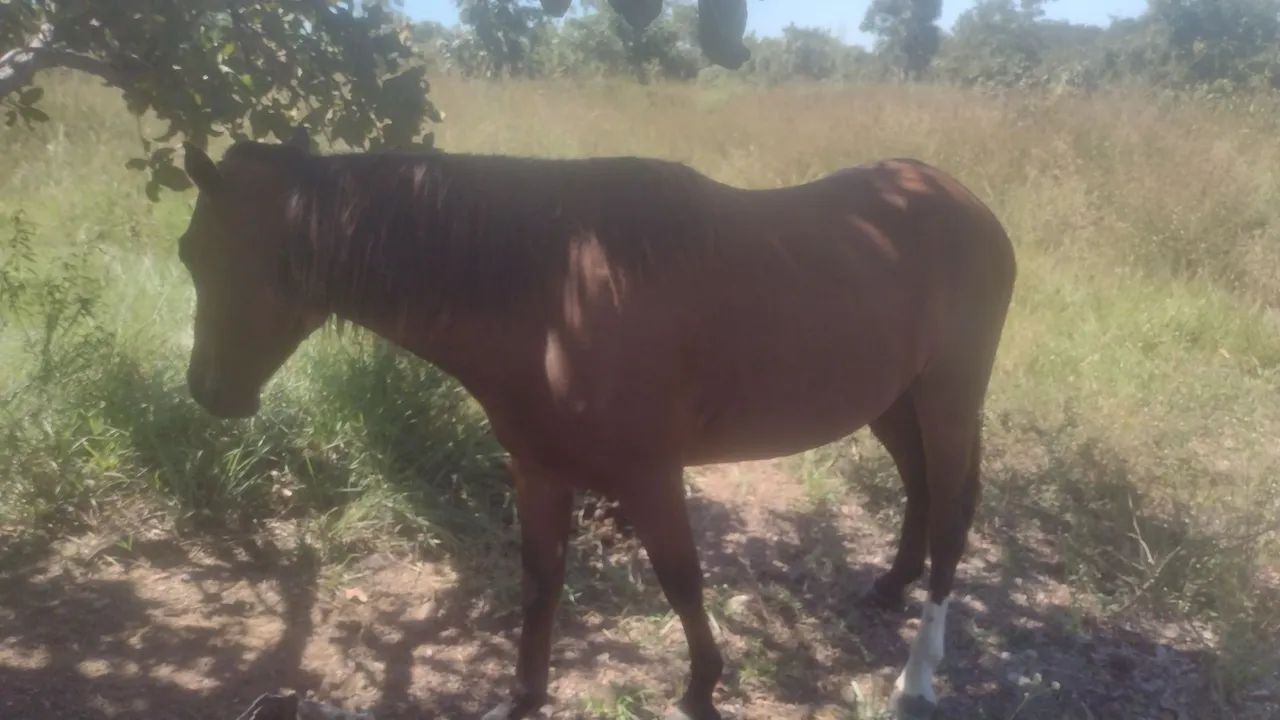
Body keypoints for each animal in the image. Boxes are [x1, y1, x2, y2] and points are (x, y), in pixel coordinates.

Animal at [178, 130, 1015, 720]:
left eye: (206, 254)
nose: (208, 393)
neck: (553, 298)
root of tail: (966, 204)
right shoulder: (538, 470)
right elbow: (540, 582)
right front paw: (521, 696)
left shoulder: (650, 475)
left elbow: (681, 581)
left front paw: (701, 690)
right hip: (892, 402)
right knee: (921, 490)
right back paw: (891, 585)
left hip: (949, 397)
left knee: (952, 516)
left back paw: (917, 676)